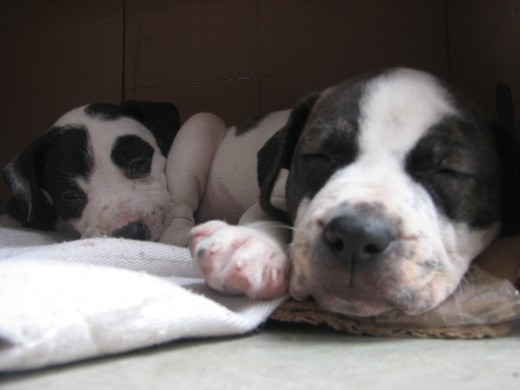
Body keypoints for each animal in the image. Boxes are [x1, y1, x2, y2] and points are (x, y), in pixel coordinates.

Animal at [191, 67, 520, 316]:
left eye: (448, 172)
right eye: (319, 156)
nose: (355, 235)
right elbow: (265, 208)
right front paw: (251, 243)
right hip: (201, 127)